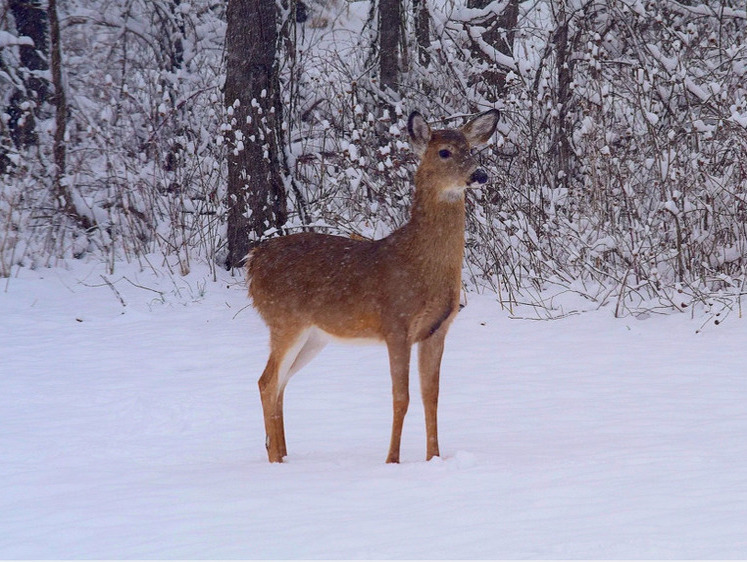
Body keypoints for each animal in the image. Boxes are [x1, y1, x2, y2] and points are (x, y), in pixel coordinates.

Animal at [248, 107, 500, 462]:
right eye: (444, 152)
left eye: (472, 149)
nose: (479, 175)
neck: (420, 263)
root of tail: (253, 261)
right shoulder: (396, 324)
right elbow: (401, 398)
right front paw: (392, 460)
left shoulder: (437, 329)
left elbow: (431, 396)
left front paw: (434, 459)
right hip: (284, 320)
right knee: (267, 382)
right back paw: (275, 461)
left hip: (313, 335)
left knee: (281, 383)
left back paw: (283, 455)